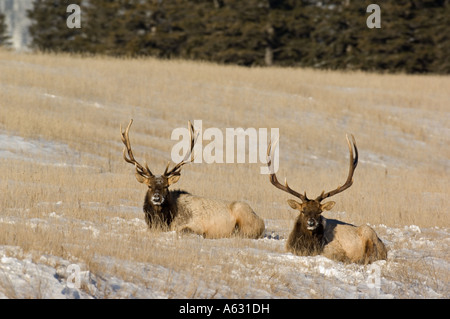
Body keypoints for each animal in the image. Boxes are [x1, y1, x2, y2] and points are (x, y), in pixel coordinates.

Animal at [121, 119, 266, 239]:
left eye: (166, 187)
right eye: (149, 186)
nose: (157, 198)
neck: (163, 220)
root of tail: (262, 222)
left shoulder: (194, 225)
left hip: (242, 213)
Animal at [268, 135, 386, 264]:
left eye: (320, 211)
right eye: (303, 210)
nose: (311, 222)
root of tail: (385, 248)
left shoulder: (335, 251)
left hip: (369, 232)